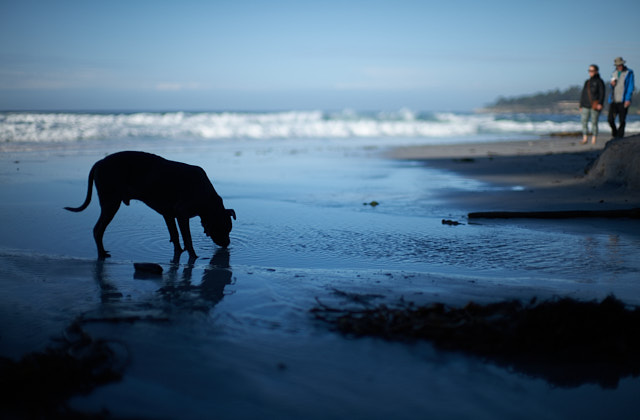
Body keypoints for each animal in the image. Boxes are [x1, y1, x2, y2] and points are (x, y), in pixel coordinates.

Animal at [65, 152, 236, 260]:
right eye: (222, 229)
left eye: (229, 229)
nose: (227, 244)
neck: (208, 199)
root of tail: (99, 163)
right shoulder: (182, 215)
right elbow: (187, 238)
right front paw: (193, 256)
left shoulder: (169, 214)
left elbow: (175, 235)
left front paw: (178, 253)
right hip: (111, 203)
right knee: (98, 229)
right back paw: (101, 253)